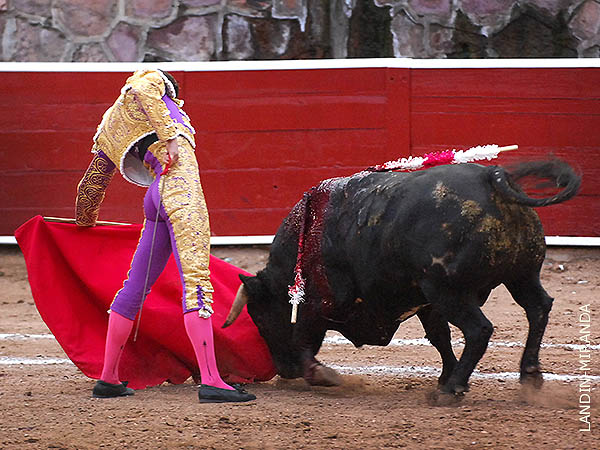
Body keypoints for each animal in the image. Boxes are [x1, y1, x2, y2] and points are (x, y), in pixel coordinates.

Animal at [223, 160, 580, 396]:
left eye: (261, 319)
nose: (284, 372)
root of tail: (493, 177)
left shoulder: (319, 303)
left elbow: (301, 340)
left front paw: (322, 375)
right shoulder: (426, 303)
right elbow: (439, 337)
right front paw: (445, 373)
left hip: (449, 291)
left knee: (479, 329)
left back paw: (452, 391)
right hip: (521, 275)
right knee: (538, 308)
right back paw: (529, 375)